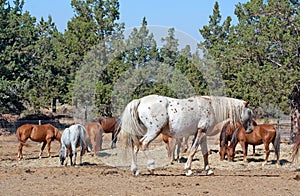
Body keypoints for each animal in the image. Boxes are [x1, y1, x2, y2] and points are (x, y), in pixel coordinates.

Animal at [120, 94, 253, 175]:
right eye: (249, 112)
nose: (251, 129)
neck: (211, 108)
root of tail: (140, 101)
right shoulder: (200, 132)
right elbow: (193, 150)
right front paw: (188, 169)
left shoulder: (202, 134)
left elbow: (205, 152)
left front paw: (208, 170)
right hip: (153, 131)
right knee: (144, 144)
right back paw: (151, 167)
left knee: (135, 146)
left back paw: (135, 170)